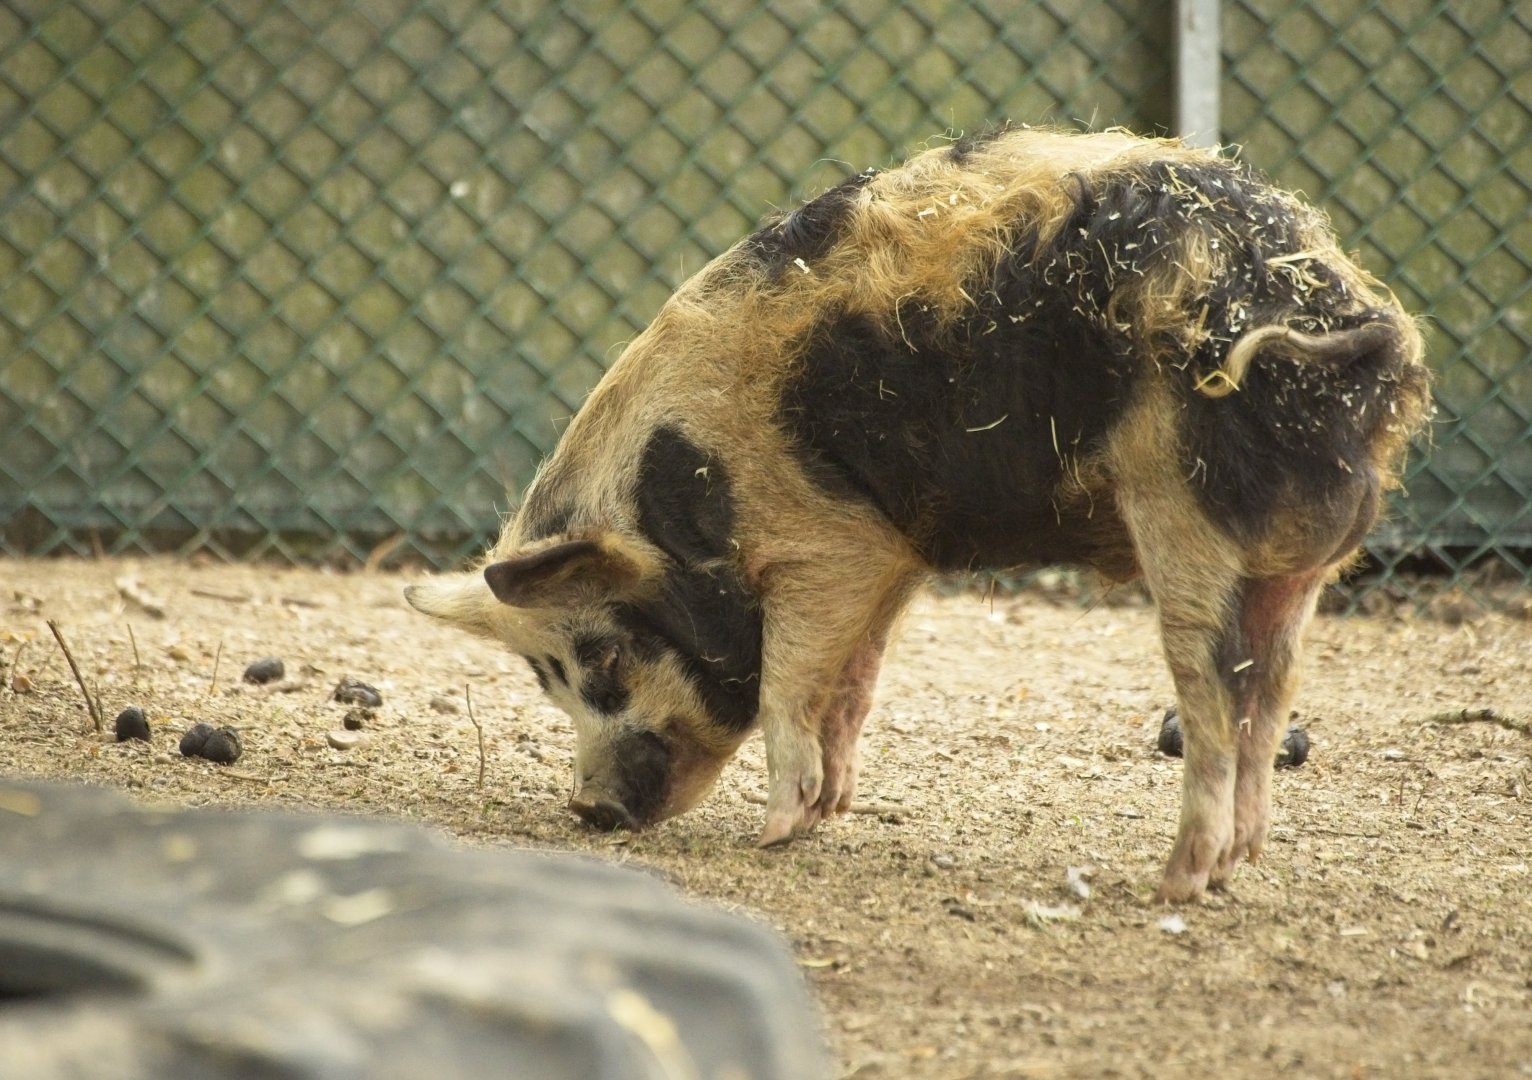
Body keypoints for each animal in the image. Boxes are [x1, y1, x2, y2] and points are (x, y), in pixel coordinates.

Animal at [406, 126, 1431, 902]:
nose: (588, 810)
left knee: (1216, 690)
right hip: (1296, 563)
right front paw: (826, 813)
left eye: (607, 660)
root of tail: (1348, 324)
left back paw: (1177, 880)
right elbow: (852, 680)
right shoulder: (894, 550)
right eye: (549, 680)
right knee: (1272, 687)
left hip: (1185, 509)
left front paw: (772, 836)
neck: (688, 493)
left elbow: (787, 682)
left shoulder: (830, 541)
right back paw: (1238, 863)